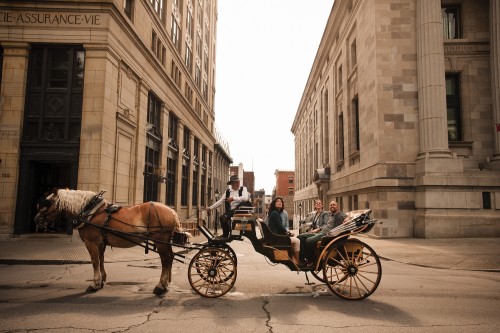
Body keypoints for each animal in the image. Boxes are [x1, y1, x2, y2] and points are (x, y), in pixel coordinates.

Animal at [35, 188, 184, 294]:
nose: (36, 219)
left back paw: (160, 286)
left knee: (165, 260)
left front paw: (94, 283)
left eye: (48, 203)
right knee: (170, 258)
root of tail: (172, 211)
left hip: (160, 240)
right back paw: (165, 285)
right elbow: (101, 260)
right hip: (164, 241)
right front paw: (101, 280)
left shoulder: (91, 242)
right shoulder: (100, 243)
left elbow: (94, 261)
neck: (90, 212)